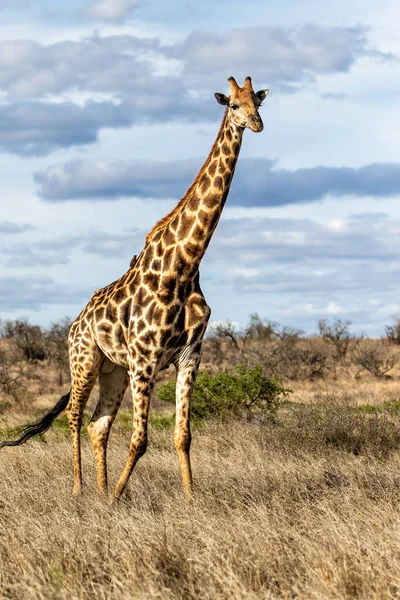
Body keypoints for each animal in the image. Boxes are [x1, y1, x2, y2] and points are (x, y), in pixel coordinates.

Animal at [0, 77, 268, 500]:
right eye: (233, 105)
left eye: (258, 101)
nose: (256, 124)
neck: (185, 265)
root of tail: (75, 323)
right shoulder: (146, 357)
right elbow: (140, 439)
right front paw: (116, 498)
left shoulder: (189, 356)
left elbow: (182, 435)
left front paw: (188, 499)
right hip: (85, 360)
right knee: (75, 415)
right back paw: (79, 490)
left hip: (115, 370)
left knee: (98, 424)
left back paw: (98, 490)